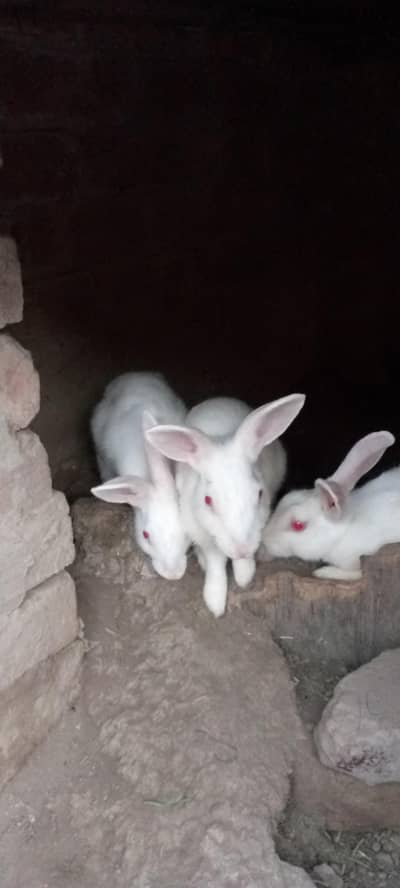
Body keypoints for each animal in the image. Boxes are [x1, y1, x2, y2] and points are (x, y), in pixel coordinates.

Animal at [145, 392, 305, 617]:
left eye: (259, 493)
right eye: (208, 500)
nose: (241, 549)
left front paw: (244, 576)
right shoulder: (204, 536)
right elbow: (215, 564)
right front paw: (215, 603)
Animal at [261, 430, 397, 580]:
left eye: (298, 525)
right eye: (285, 498)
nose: (265, 539)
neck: (344, 531)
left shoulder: (353, 561)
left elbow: (354, 574)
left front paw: (323, 572)